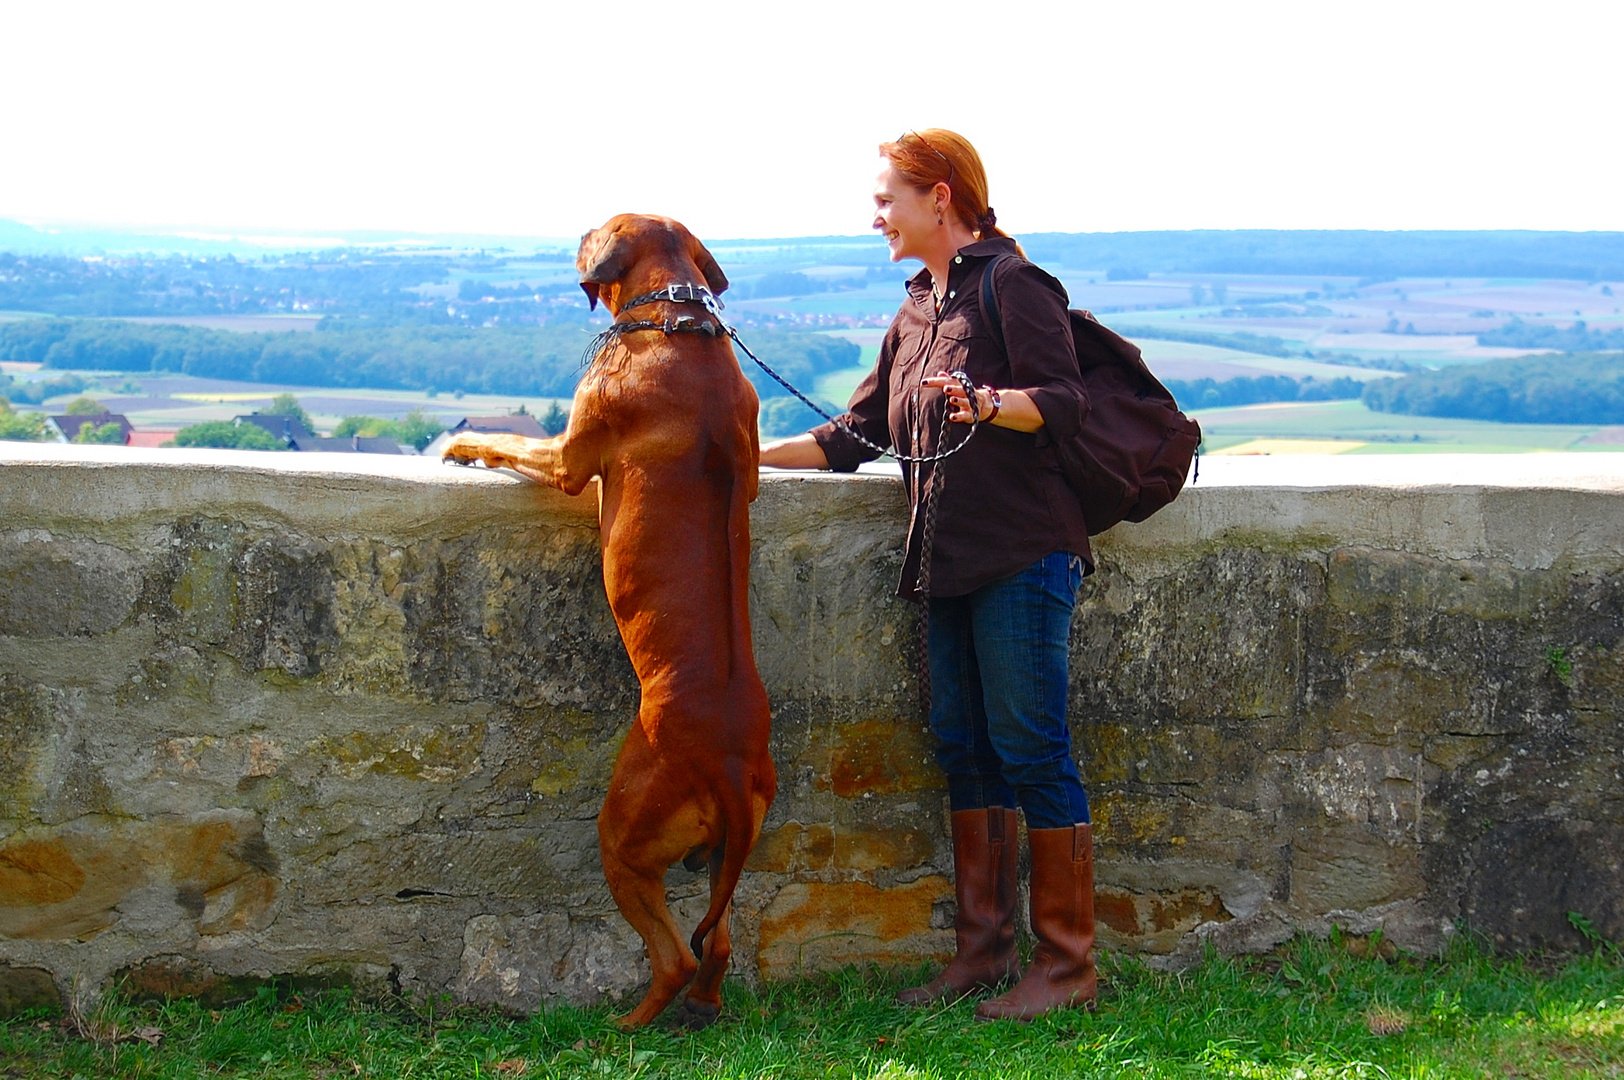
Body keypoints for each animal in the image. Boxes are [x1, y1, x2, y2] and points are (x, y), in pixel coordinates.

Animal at [441, 212, 776, 1026]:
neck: (678, 323)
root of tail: (726, 762)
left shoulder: (567, 456)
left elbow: (508, 440)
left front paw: (459, 443)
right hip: (733, 843)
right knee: (718, 945)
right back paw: (700, 1011)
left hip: (622, 837)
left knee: (676, 955)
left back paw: (624, 1027)